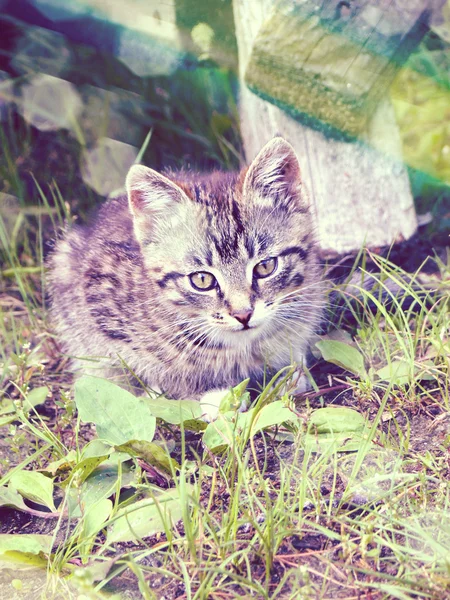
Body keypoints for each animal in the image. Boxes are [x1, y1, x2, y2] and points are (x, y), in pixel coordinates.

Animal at [48, 138, 324, 414]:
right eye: (202, 280)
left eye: (265, 267)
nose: (243, 315)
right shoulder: (99, 306)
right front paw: (209, 396)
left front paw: (290, 375)